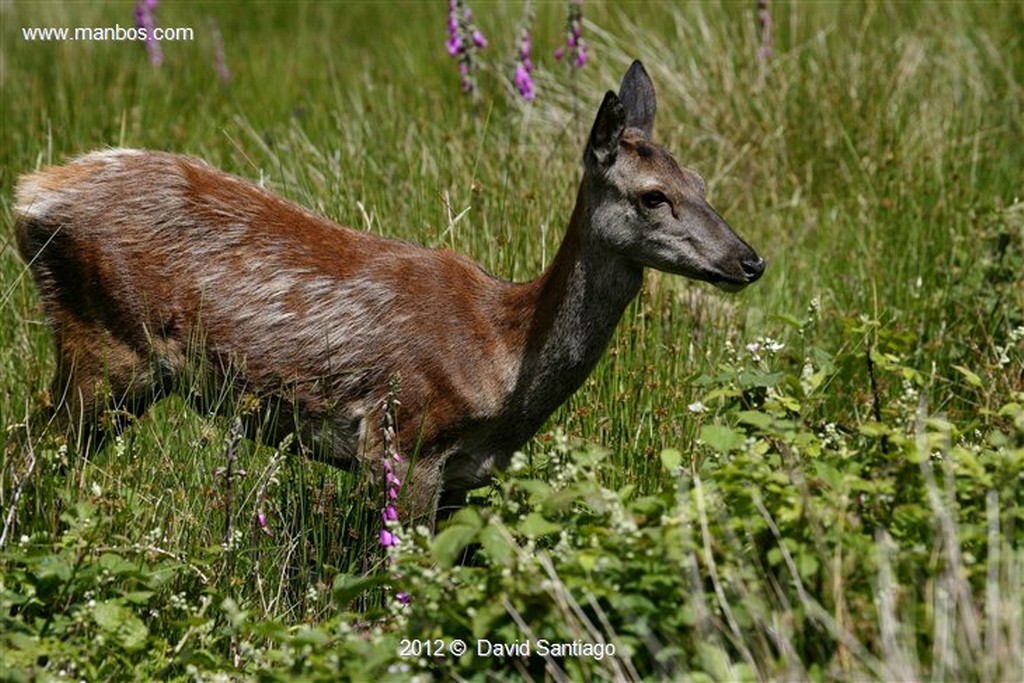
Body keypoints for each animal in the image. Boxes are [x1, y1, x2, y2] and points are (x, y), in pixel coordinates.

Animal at [16, 62, 761, 524]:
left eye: (701, 181)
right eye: (653, 195)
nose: (749, 260)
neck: (504, 351)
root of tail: (31, 194)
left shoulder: (467, 476)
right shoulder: (406, 441)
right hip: (105, 345)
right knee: (32, 449)